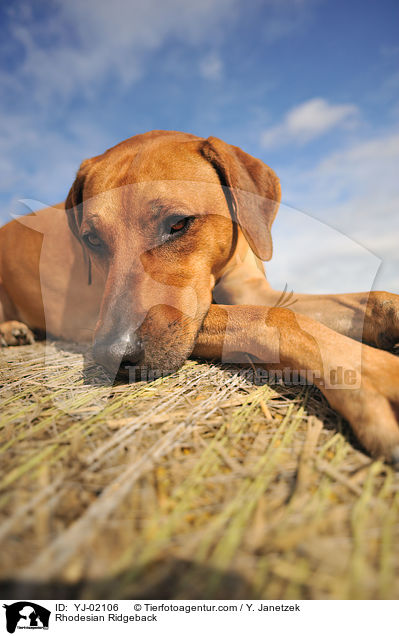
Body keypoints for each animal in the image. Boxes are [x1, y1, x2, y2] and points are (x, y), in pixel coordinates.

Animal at [0, 132, 399, 464]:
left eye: (178, 224)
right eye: (92, 239)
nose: (114, 354)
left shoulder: (252, 290)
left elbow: (368, 300)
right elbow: (273, 318)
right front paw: (376, 376)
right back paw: (11, 330)